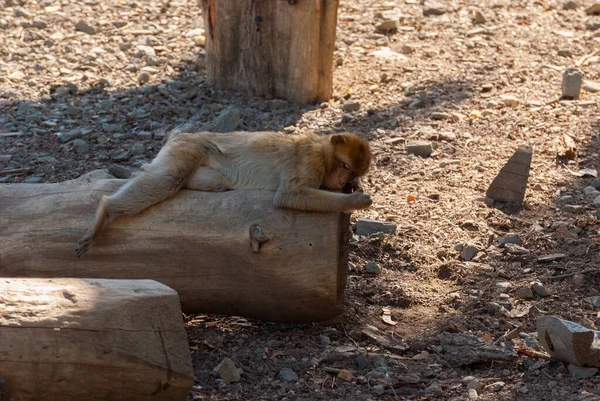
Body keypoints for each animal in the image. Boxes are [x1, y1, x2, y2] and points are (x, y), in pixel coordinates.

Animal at [76, 130, 370, 256]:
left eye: (352, 172)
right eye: (345, 166)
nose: (344, 179)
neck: (324, 151)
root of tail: (181, 133)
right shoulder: (310, 160)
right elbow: (290, 195)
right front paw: (354, 200)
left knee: (212, 182)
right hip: (188, 148)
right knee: (168, 178)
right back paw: (107, 211)